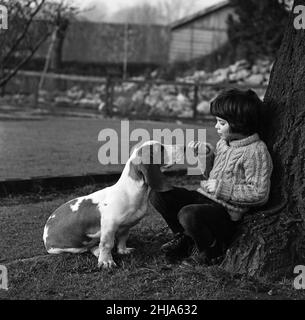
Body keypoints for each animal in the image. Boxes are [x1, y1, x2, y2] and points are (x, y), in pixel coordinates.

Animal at [42, 141, 184, 268]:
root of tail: (46, 230)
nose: (183, 146)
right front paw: (106, 261)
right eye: (161, 148)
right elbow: (107, 244)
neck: (131, 191)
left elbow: (122, 238)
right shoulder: (109, 226)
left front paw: (123, 250)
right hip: (71, 247)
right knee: (87, 248)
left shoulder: (126, 226)